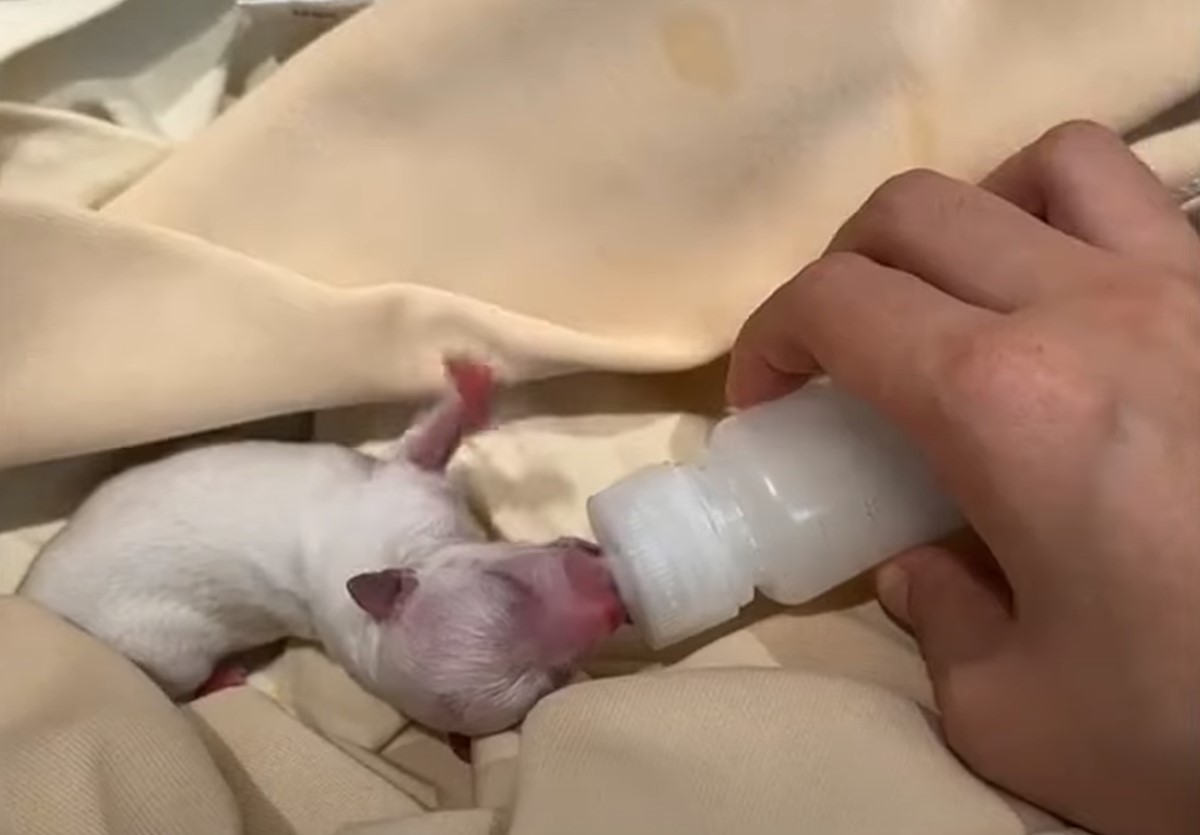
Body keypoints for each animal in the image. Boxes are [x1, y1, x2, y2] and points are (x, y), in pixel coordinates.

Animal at [21, 362, 628, 734]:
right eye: (510, 590)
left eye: (554, 676)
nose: (614, 603)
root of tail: (30, 598)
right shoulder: (395, 497)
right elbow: (424, 442)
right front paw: (471, 388)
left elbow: (423, 441)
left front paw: (471, 384)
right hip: (162, 646)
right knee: (180, 682)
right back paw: (223, 677)